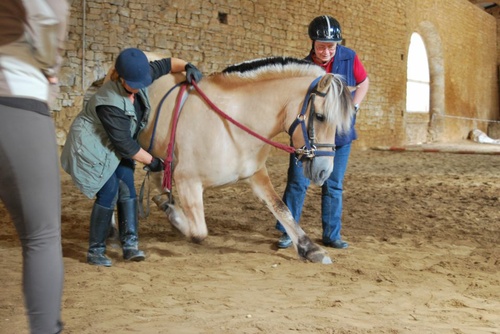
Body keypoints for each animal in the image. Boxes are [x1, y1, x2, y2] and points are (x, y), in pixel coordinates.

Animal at [139, 54, 354, 264]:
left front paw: (309, 248)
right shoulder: (187, 180)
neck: (233, 123)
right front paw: (171, 212)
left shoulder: (256, 174)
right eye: (319, 116)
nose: (324, 172)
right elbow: (198, 232)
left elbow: (281, 208)